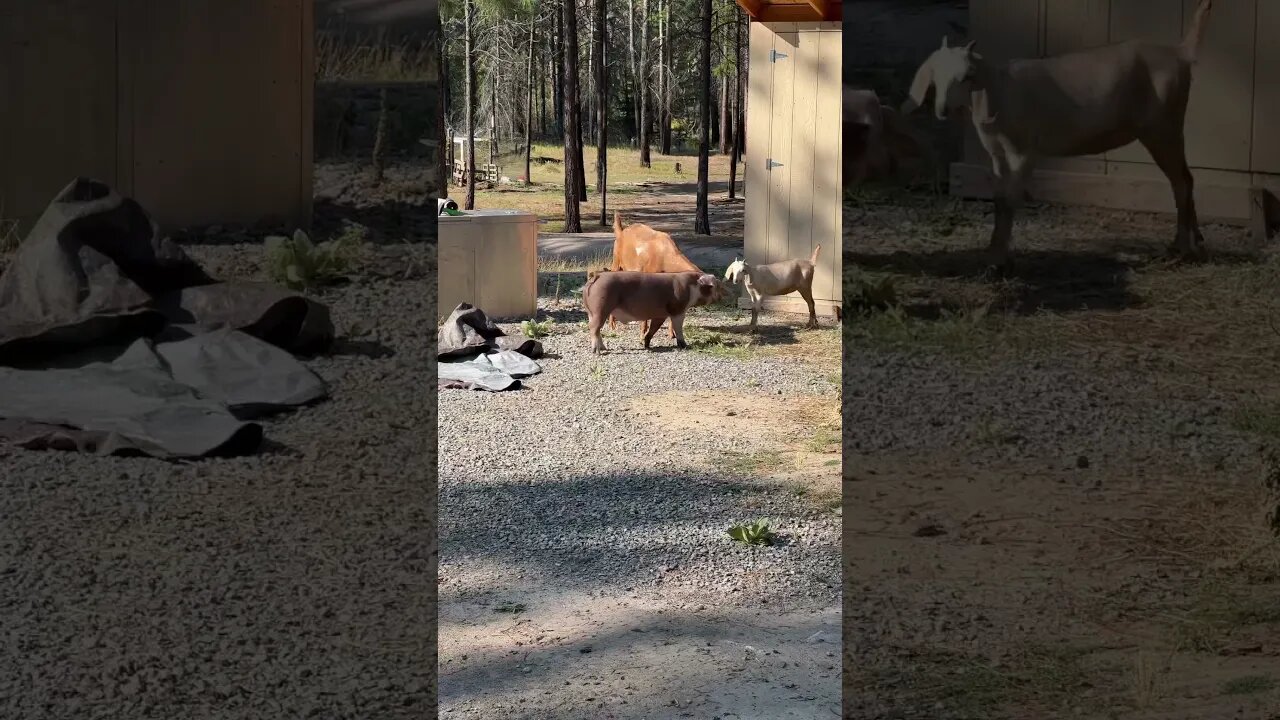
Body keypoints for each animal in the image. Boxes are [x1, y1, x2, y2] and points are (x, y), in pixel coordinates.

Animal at [906, 0, 1213, 271]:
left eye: (967, 75)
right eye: (935, 75)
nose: (942, 109)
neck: (1000, 89)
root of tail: (1180, 52)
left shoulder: (1023, 151)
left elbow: (1010, 199)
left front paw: (1000, 261)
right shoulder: (996, 154)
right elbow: (999, 199)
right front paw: (994, 255)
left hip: (1163, 128)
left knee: (1181, 181)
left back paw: (1181, 249)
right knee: (1186, 178)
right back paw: (1194, 244)